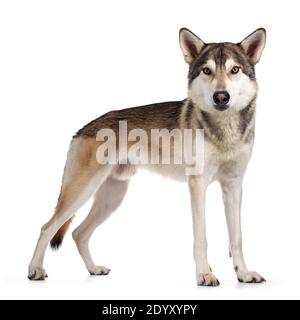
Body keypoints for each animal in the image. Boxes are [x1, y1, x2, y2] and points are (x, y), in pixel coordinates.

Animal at [28, 27, 266, 286]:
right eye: (207, 70)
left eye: (235, 70)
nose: (221, 96)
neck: (224, 129)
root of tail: (81, 130)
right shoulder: (197, 185)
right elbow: (201, 238)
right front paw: (204, 274)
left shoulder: (234, 186)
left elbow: (237, 238)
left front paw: (243, 274)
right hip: (81, 192)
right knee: (47, 227)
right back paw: (35, 270)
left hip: (111, 199)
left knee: (78, 233)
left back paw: (94, 269)